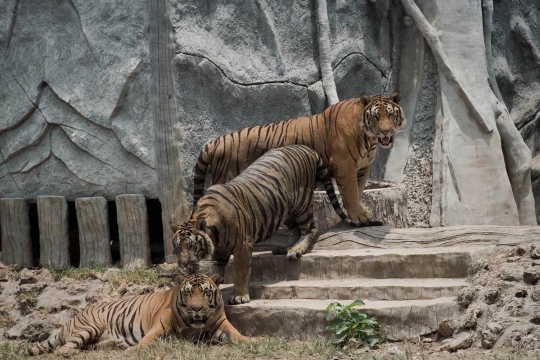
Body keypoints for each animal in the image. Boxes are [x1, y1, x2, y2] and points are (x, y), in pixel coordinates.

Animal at [28, 272, 248, 354]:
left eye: (205, 292)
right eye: (187, 293)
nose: (196, 308)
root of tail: (68, 322)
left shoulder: (220, 323)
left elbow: (236, 334)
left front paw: (252, 341)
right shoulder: (160, 325)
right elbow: (148, 339)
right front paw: (134, 350)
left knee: (91, 345)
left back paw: (118, 344)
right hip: (90, 326)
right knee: (64, 348)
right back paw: (69, 352)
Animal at [171, 145, 370, 306]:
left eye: (192, 246)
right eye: (177, 248)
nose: (182, 264)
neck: (215, 236)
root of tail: (307, 148)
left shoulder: (243, 245)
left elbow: (240, 271)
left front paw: (239, 296)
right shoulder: (218, 254)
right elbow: (216, 272)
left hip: (301, 204)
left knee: (311, 227)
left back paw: (296, 250)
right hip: (285, 209)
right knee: (295, 230)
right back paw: (286, 247)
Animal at [193, 90, 404, 225]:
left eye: (390, 115)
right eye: (375, 117)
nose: (386, 131)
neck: (369, 139)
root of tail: (215, 142)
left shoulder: (362, 168)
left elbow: (358, 192)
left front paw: (360, 214)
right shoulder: (346, 166)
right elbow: (351, 193)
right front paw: (358, 216)